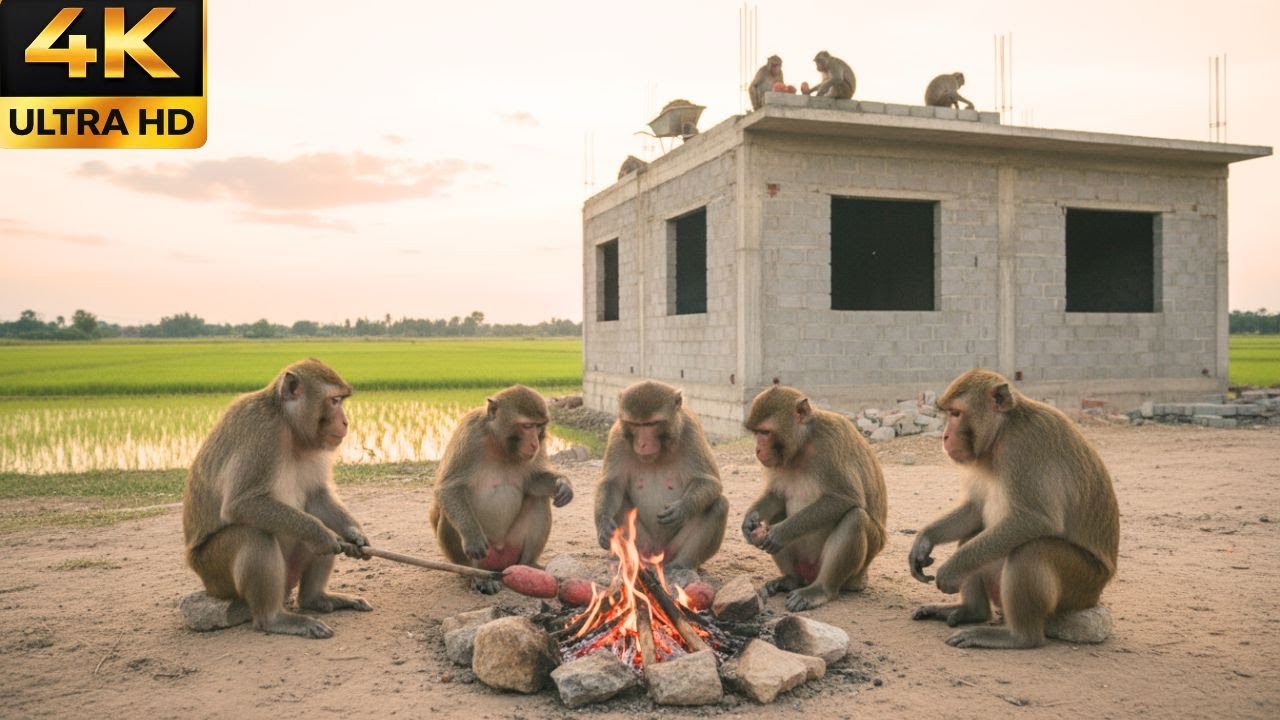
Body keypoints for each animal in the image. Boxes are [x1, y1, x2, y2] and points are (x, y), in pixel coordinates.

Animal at [182, 359, 371, 639]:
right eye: (335, 400)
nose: (345, 422)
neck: (289, 426)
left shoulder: (316, 444)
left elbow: (317, 497)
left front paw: (354, 535)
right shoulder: (263, 431)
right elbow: (242, 503)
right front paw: (322, 535)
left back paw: (316, 598)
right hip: (214, 574)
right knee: (254, 534)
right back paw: (274, 619)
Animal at [429, 385, 573, 593]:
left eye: (539, 426)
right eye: (527, 426)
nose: (535, 444)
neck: (498, 445)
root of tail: (498, 565)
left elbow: (533, 481)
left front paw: (563, 484)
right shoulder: (470, 432)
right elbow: (450, 488)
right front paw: (472, 537)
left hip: (511, 548)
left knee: (538, 498)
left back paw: (528, 564)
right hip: (484, 557)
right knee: (450, 515)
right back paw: (475, 575)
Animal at [594, 381, 729, 573]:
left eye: (652, 423)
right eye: (636, 424)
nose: (643, 443)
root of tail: (657, 554)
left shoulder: (691, 432)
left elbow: (710, 482)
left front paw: (682, 508)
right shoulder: (617, 436)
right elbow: (612, 484)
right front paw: (604, 523)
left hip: (672, 548)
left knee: (719, 504)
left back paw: (682, 564)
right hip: (642, 544)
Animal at [742, 383, 888, 611]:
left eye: (765, 432)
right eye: (756, 433)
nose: (757, 450)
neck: (803, 445)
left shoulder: (830, 441)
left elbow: (846, 498)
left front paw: (780, 532)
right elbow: (777, 496)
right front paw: (748, 523)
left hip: (856, 570)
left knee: (855, 518)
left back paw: (820, 590)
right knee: (778, 513)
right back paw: (791, 580)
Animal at [909, 369, 1120, 649]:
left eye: (955, 413)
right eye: (948, 414)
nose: (944, 436)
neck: (1003, 431)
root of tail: (1098, 591)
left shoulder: (1026, 445)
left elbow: (1035, 519)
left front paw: (951, 569)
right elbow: (975, 509)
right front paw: (924, 541)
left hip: (1081, 586)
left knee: (1032, 550)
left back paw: (1019, 637)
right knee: (974, 536)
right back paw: (973, 612)